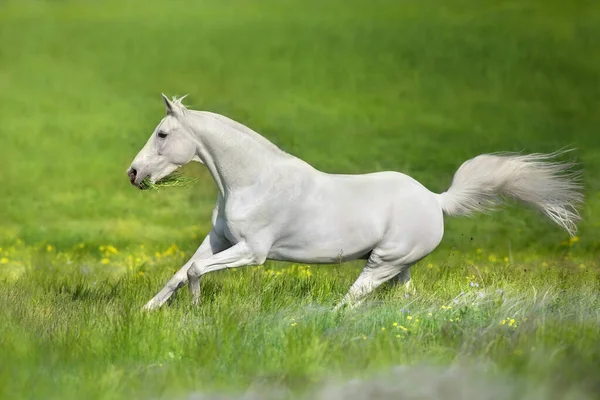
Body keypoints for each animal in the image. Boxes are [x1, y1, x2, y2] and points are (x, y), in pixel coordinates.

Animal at [129, 95, 584, 310]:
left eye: (162, 134)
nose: (133, 174)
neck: (254, 181)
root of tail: (436, 201)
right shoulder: (220, 240)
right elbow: (180, 271)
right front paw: (148, 311)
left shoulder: (252, 251)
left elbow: (195, 273)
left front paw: (195, 309)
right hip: (400, 268)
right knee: (406, 300)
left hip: (382, 263)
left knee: (349, 303)